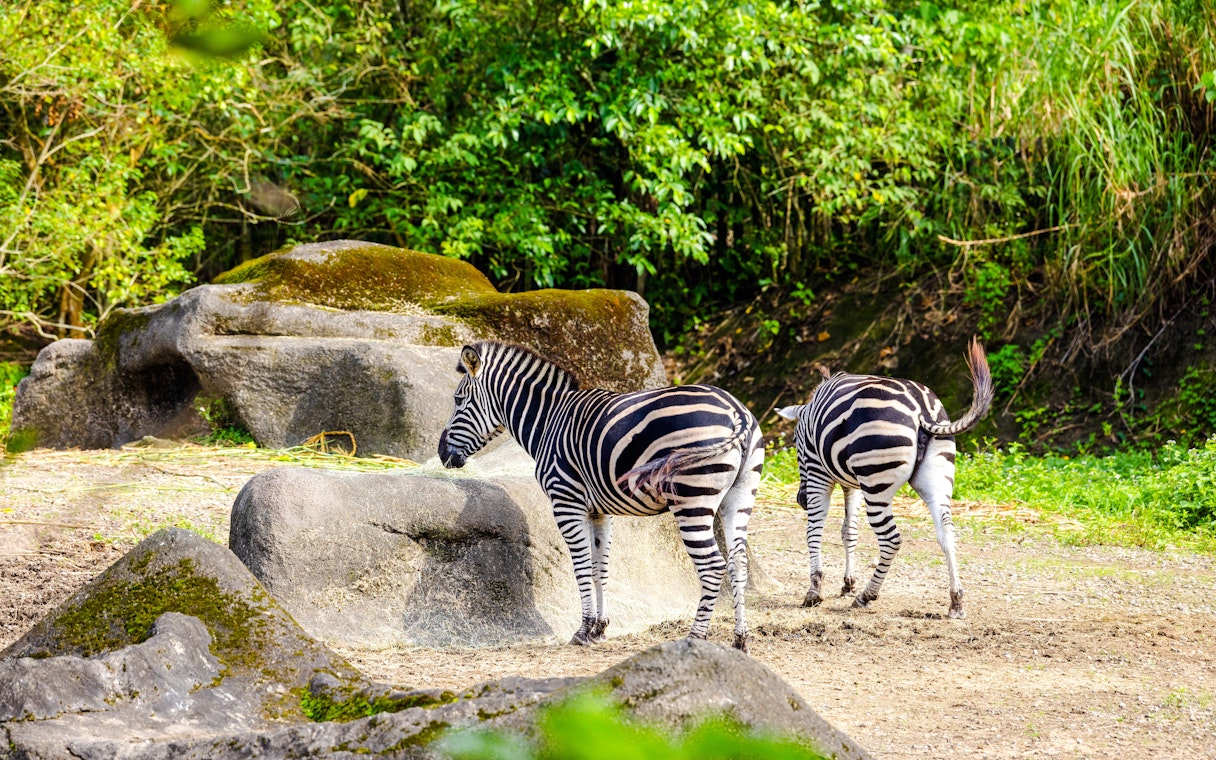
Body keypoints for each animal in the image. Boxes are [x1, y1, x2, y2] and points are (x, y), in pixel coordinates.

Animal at [437, 341, 764, 652]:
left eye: (458, 400)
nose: (441, 454)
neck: (548, 421)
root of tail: (737, 412)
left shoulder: (566, 501)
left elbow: (581, 567)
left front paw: (583, 631)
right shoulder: (599, 511)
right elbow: (600, 568)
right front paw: (600, 628)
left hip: (691, 499)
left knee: (712, 567)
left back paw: (695, 638)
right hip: (739, 497)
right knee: (738, 564)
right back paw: (740, 640)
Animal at [776, 337, 993, 619]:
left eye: (794, 441)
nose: (800, 500)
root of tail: (921, 409)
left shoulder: (817, 473)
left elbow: (814, 530)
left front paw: (814, 590)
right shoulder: (853, 483)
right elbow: (849, 530)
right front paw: (847, 583)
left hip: (876, 484)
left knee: (891, 539)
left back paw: (866, 596)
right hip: (935, 477)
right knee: (946, 531)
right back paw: (956, 602)